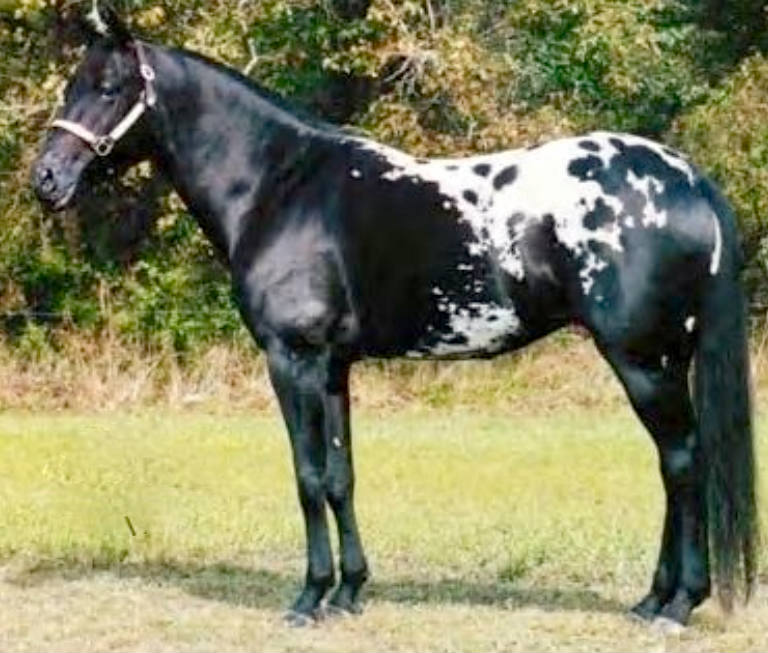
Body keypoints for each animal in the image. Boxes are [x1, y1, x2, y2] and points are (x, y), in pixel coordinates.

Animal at [32, 9, 757, 628]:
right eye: (73, 84)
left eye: (108, 88)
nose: (45, 178)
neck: (279, 187)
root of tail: (688, 178)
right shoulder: (332, 367)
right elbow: (340, 474)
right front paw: (349, 591)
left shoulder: (292, 359)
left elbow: (307, 476)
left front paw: (308, 597)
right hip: (666, 357)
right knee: (673, 465)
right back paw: (653, 598)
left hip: (640, 359)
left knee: (681, 461)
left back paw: (678, 605)